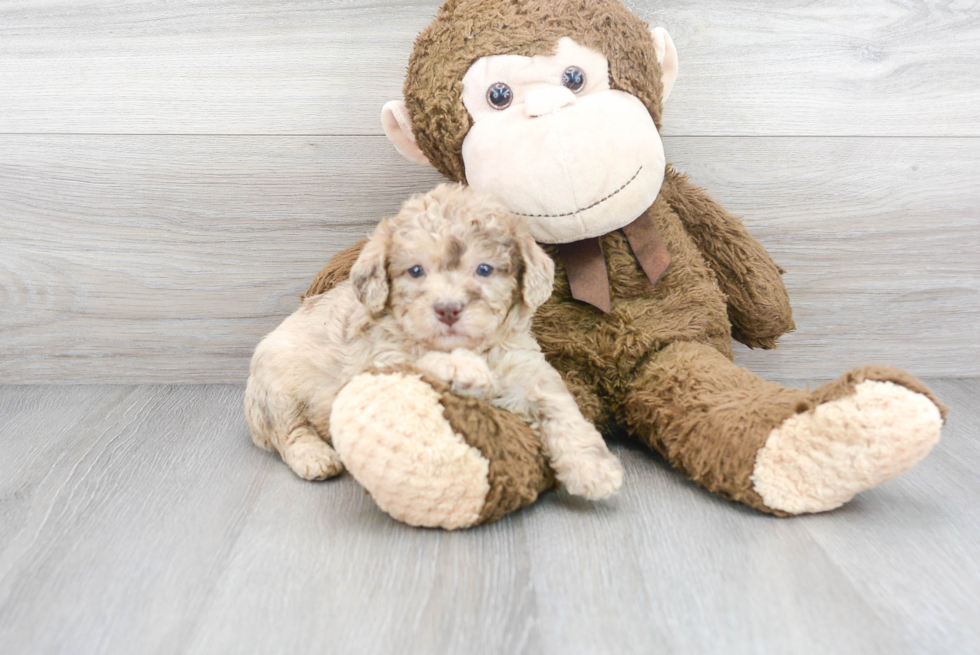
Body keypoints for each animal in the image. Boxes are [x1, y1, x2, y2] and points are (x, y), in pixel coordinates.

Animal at [249, 184, 624, 502]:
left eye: (484, 269)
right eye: (416, 271)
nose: (447, 309)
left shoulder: (527, 370)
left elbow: (560, 408)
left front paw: (593, 469)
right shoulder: (375, 360)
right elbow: (419, 360)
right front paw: (462, 368)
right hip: (275, 389)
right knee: (287, 433)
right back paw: (314, 457)